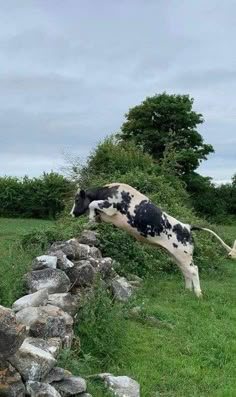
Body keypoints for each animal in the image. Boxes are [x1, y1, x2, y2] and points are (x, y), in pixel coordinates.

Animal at [70, 182, 236, 294]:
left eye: (77, 200)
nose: (71, 214)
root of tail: (187, 226)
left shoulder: (110, 206)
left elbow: (92, 203)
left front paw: (90, 218)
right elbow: (93, 208)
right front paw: (92, 220)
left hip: (184, 254)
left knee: (194, 270)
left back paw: (198, 294)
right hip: (177, 255)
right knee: (185, 271)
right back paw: (187, 291)